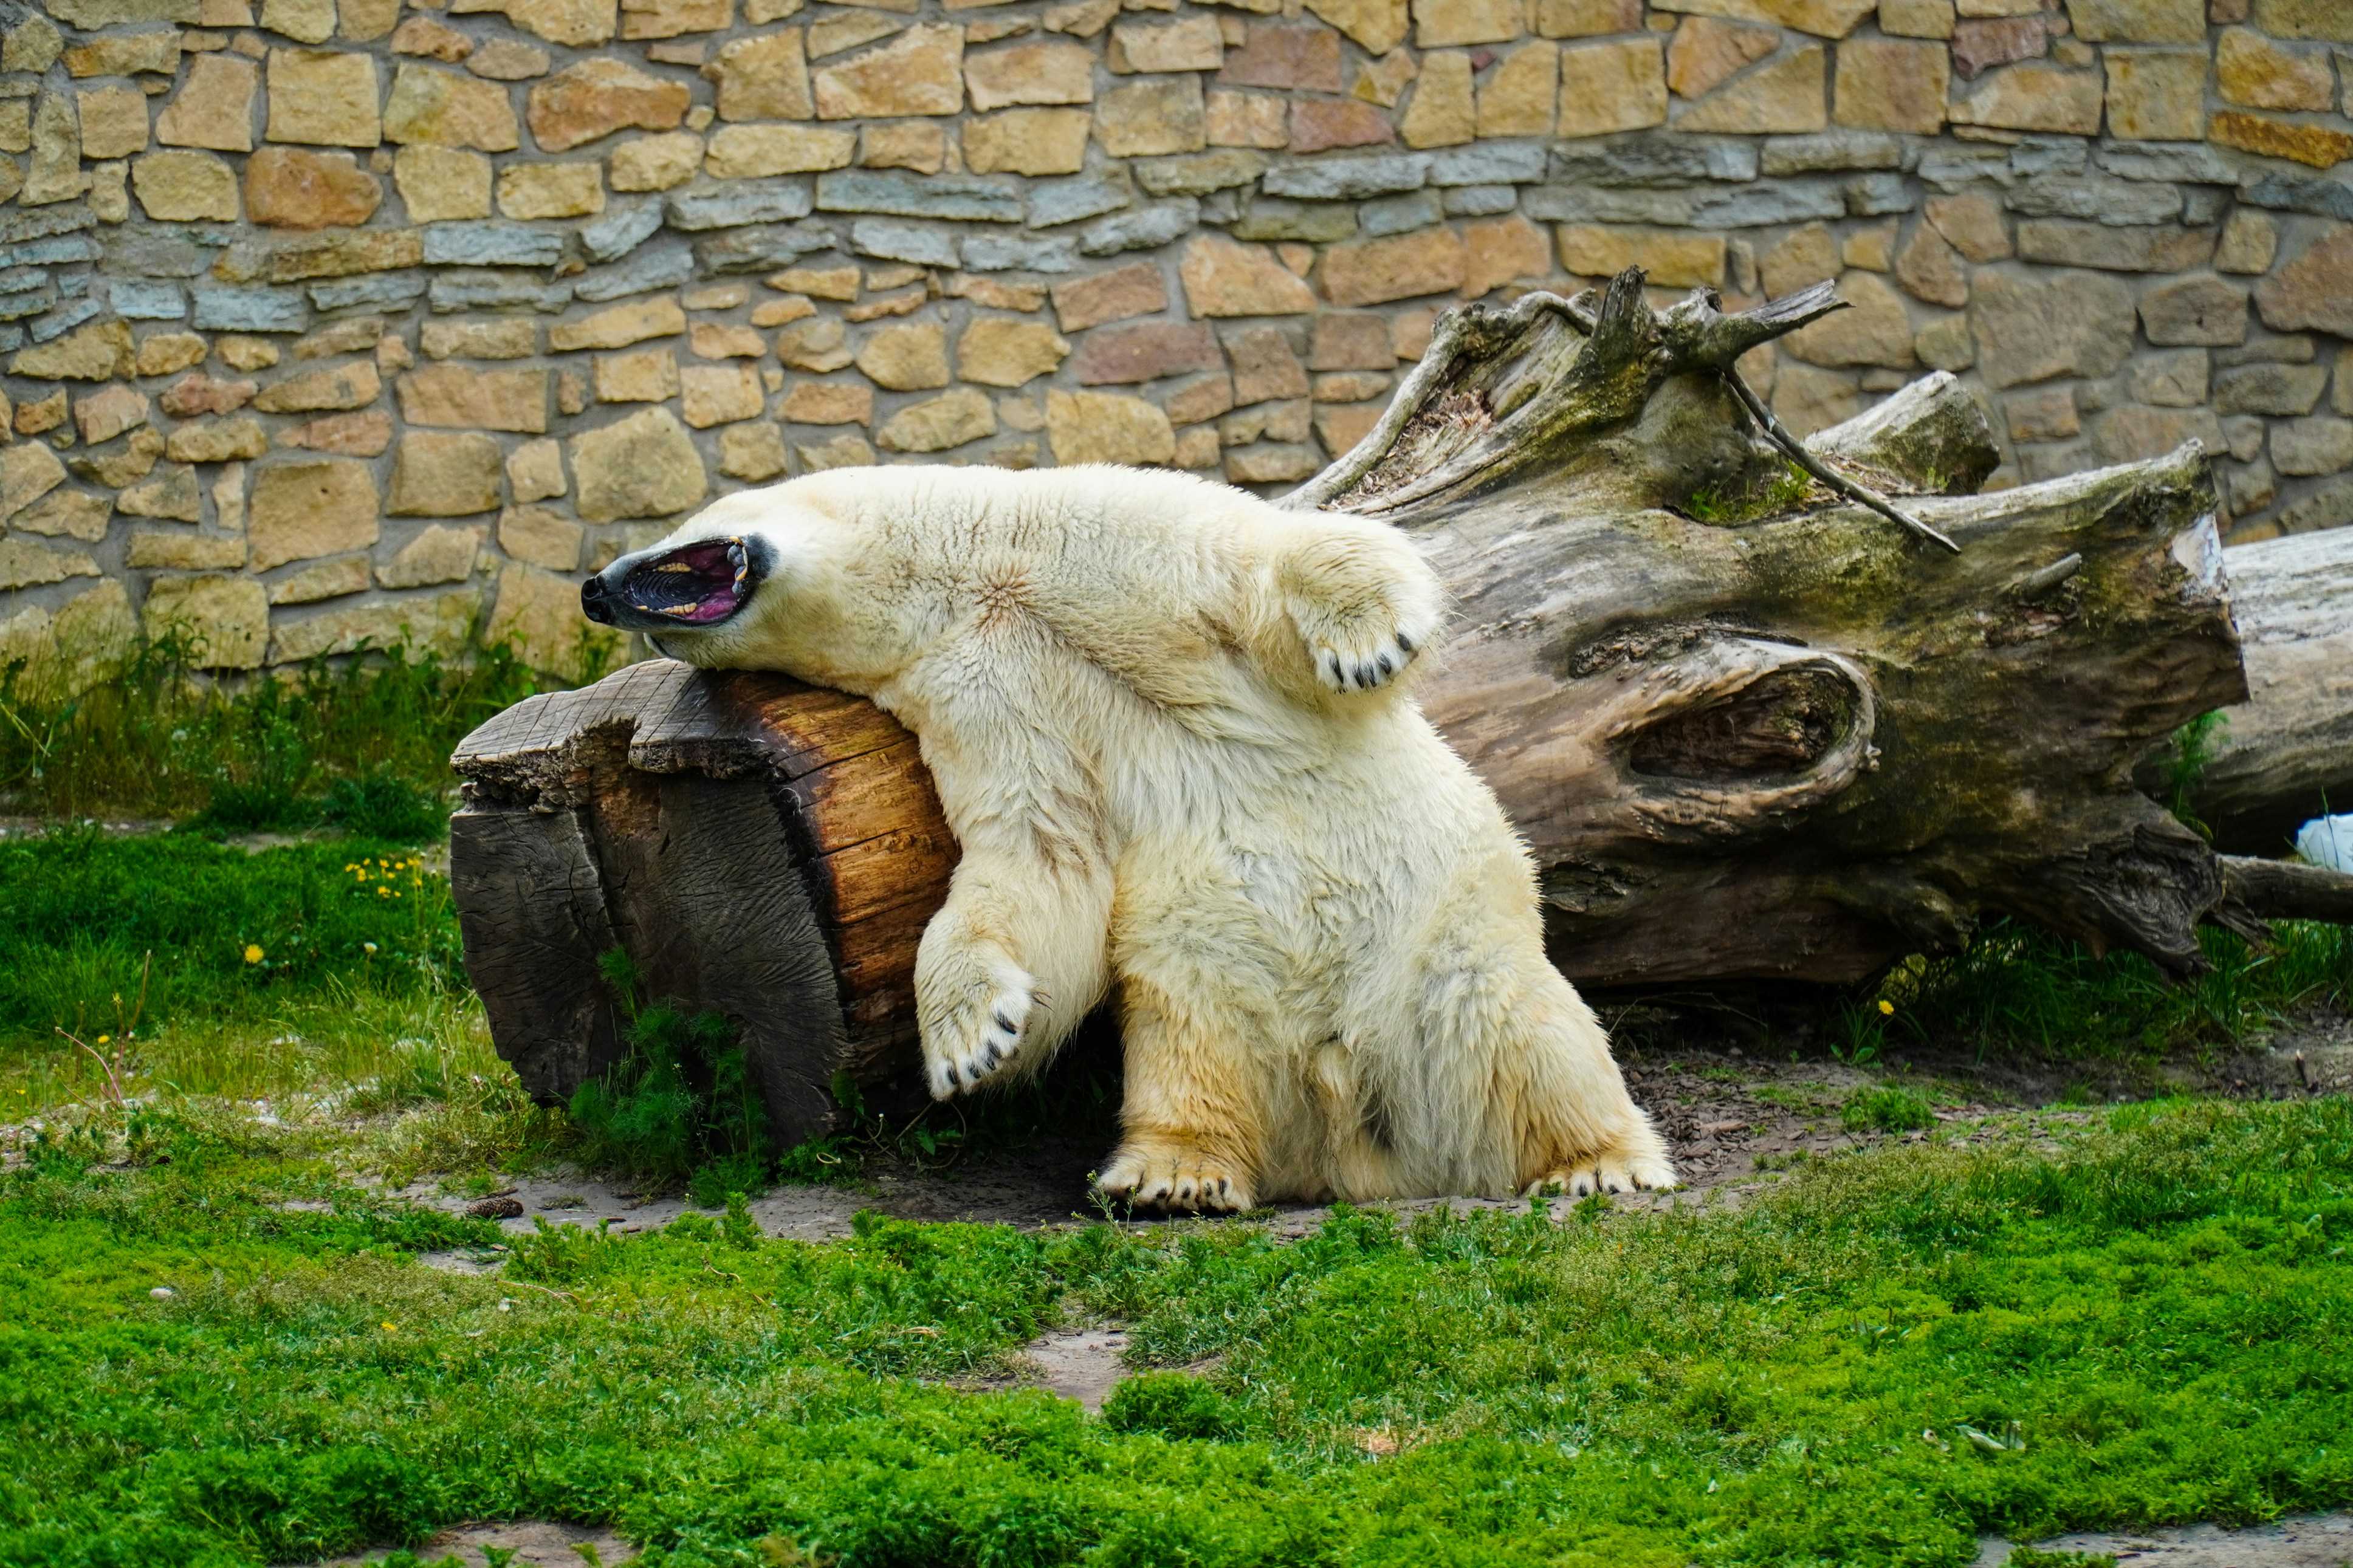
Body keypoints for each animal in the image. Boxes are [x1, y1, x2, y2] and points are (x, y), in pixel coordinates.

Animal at [582, 465, 1674, 1211]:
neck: (974, 578)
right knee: (1188, 1041)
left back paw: (1601, 1165)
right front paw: (974, 1041)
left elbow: (1257, 562)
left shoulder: (1089, 535)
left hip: (1449, 944)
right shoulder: (982, 691)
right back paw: (1169, 1174)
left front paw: (1368, 639)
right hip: (1204, 971)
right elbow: (1039, 847)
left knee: (1534, 1037)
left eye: (671, 541)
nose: (594, 586)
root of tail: (1357, 1139)